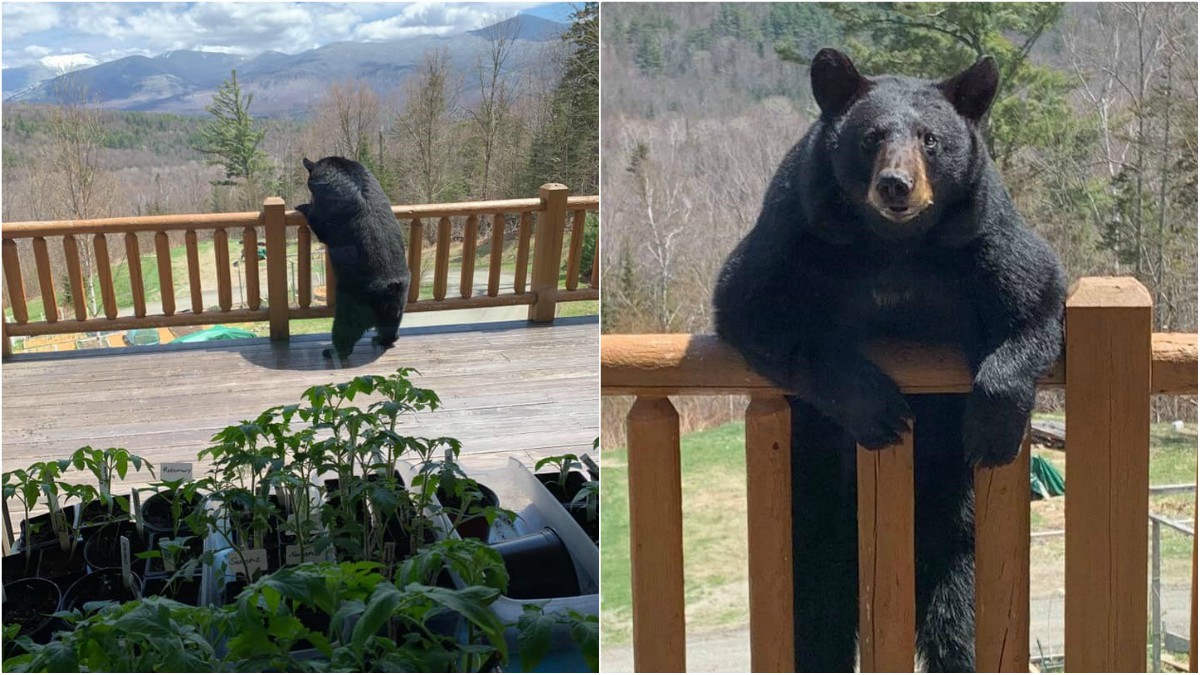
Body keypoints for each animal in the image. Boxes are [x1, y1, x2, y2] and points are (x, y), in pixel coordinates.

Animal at [296, 156, 411, 360]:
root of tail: (389, 288)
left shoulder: (327, 204)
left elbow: (318, 222)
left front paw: (302, 206)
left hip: (352, 303)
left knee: (344, 331)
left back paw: (333, 351)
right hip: (398, 304)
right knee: (390, 328)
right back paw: (383, 339)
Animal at [712, 49, 1067, 671]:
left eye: (930, 139)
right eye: (871, 136)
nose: (895, 185)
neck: (893, 245)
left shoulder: (982, 235)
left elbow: (1037, 300)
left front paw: (992, 427)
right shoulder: (799, 229)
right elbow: (752, 307)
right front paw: (879, 409)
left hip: (954, 512)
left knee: (960, 595)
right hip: (814, 497)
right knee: (816, 601)